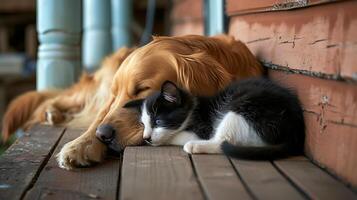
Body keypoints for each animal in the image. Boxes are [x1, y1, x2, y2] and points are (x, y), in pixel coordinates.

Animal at [124, 78, 304, 159]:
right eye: (144, 124)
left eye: (158, 122)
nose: (146, 138)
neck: (193, 110)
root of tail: (296, 130)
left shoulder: (204, 128)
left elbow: (174, 135)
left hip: (243, 105)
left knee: (223, 142)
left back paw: (195, 146)